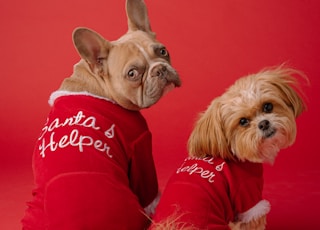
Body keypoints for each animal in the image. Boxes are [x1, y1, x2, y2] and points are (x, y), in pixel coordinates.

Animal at [21, 0, 180, 229]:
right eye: (132, 74)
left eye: (163, 51)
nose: (160, 69)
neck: (96, 84)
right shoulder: (139, 147)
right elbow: (148, 189)